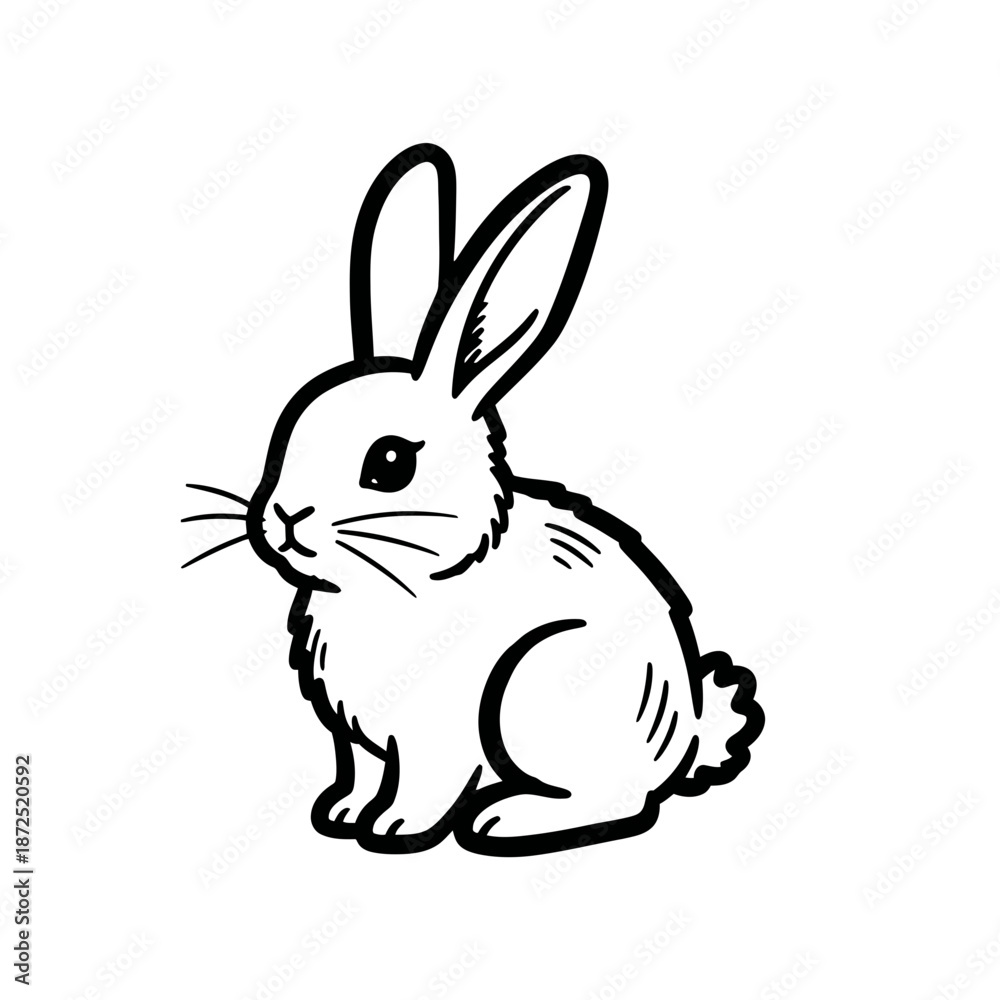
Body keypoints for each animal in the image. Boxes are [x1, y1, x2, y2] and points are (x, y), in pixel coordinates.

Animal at [186, 144, 763, 856]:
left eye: (390, 462)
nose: (285, 518)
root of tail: (684, 736)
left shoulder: (438, 732)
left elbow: (424, 782)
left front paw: (394, 828)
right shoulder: (359, 740)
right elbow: (361, 770)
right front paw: (343, 814)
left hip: (533, 690)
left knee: (618, 799)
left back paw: (507, 819)